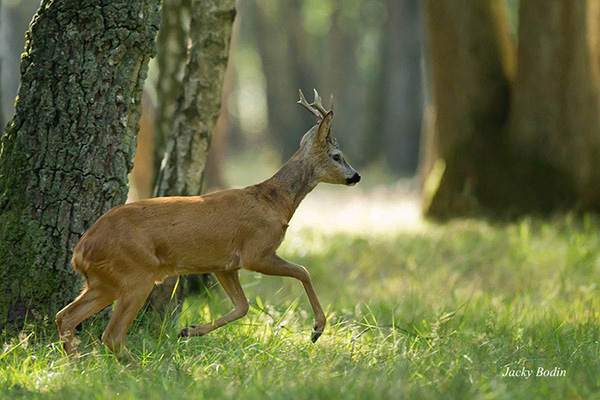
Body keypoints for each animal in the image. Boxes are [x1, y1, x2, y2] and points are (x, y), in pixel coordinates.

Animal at [56, 89, 360, 358]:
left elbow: (242, 306)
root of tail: (80, 251)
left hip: (103, 281)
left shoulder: (224, 265)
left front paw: (189, 331)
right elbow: (303, 271)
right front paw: (317, 329)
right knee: (111, 335)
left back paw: (76, 366)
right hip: (135, 274)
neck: (274, 202)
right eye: (337, 156)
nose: (355, 176)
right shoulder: (256, 251)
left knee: (65, 316)